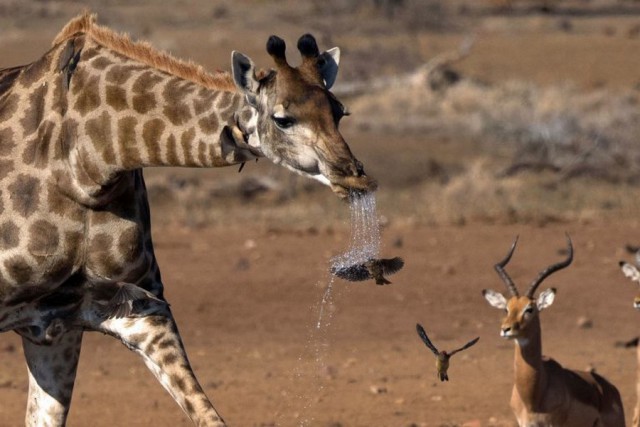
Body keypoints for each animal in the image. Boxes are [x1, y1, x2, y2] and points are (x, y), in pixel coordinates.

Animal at [0, 11, 376, 426]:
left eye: (340, 112)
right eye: (282, 119)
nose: (354, 176)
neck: (88, 162)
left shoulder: (120, 311)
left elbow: (207, 414)